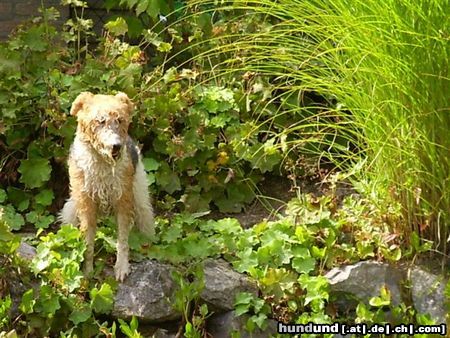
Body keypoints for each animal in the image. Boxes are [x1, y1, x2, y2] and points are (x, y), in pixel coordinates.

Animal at [59, 91, 155, 282]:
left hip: (139, 196)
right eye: (100, 121)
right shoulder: (87, 205)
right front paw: (87, 272)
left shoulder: (123, 201)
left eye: (120, 120)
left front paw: (121, 268)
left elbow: (123, 240)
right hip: (71, 209)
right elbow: (87, 244)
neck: (102, 165)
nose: (116, 146)